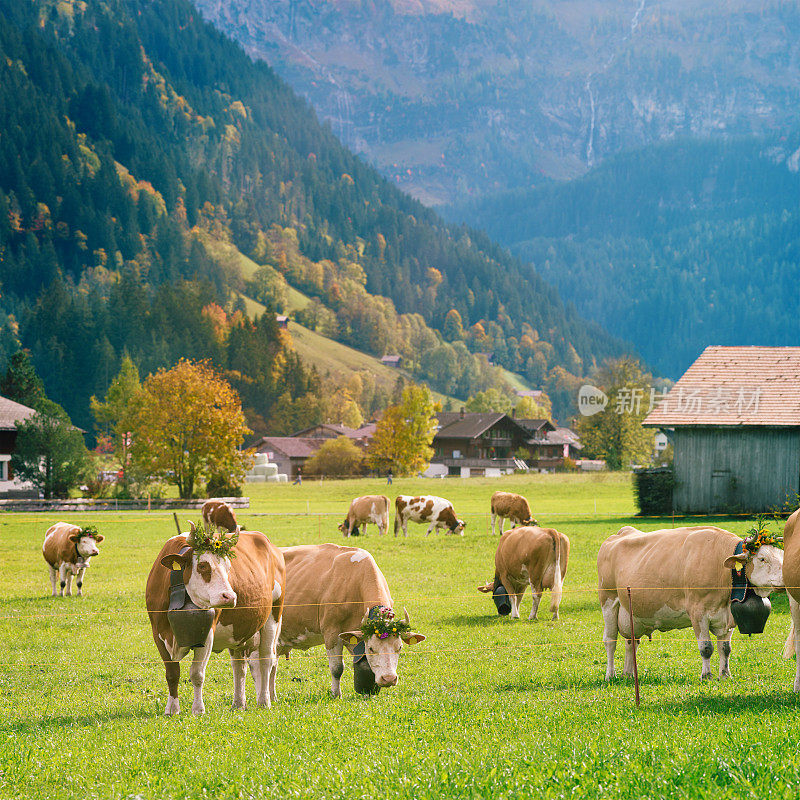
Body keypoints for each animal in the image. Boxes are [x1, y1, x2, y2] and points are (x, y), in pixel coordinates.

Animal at [145, 520, 286, 716]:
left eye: (228, 568)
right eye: (203, 565)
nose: (230, 596)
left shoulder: (206, 634)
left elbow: (196, 673)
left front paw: (198, 709)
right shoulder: (157, 633)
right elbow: (172, 673)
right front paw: (172, 709)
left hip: (273, 616)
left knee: (266, 659)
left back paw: (264, 701)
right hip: (239, 630)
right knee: (239, 666)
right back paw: (238, 703)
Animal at [276, 540, 424, 696]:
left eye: (399, 647)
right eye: (371, 648)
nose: (389, 678)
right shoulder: (331, 632)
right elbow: (337, 668)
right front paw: (336, 694)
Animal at [600, 524, 780, 680]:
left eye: (782, 555)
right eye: (762, 559)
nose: (785, 577)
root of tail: (622, 532)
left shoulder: (728, 616)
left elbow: (725, 649)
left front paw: (725, 675)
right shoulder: (698, 612)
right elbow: (706, 647)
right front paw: (706, 676)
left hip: (631, 613)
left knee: (631, 642)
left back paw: (628, 674)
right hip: (608, 601)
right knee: (610, 640)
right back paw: (611, 675)